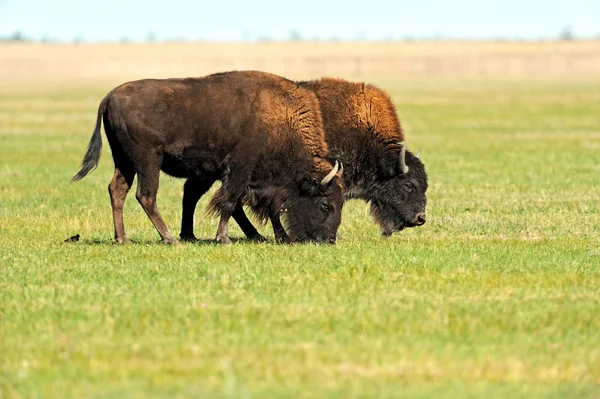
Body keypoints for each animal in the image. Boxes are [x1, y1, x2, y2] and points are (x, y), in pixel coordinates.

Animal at [71, 72, 342, 247]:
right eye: (326, 205)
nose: (329, 240)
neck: (280, 117)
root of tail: (108, 97)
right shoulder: (239, 170)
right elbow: (230, 202)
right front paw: (223, 238)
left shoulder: (221, 175)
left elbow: (264, 208)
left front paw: (278, 237)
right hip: (147, 160)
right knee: (146, 195)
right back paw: (169, 238)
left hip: (124, 161)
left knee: (117, 190)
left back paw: (123, 238)